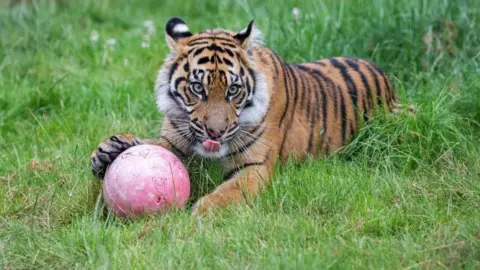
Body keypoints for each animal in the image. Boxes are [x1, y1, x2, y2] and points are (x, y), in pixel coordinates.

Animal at [91, 16, 398, 215]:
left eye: (233, 90)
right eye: (197, 88)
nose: (215, 133)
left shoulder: (255, 166)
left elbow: (229, 192)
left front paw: (200, 213)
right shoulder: (174, 141)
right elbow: (151, 146)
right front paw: (110, 149)